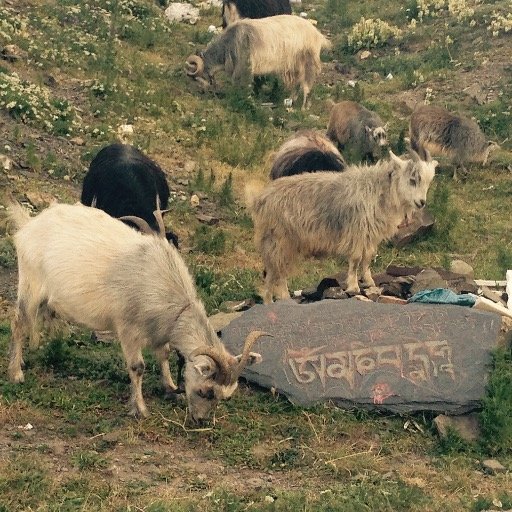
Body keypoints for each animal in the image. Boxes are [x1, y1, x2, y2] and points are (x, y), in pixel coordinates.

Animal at [246, 148, 438, 302]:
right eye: (413, 179)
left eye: (428, 181)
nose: (421, 202)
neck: (378, 190)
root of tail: (259, 199)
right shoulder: (356, 232)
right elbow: (355, 259)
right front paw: (353, 286)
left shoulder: (370, 236)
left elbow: (367, 258)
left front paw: (369, 282)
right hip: (279, 241)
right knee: (275, 274)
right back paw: (279, 300)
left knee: (276, 273)